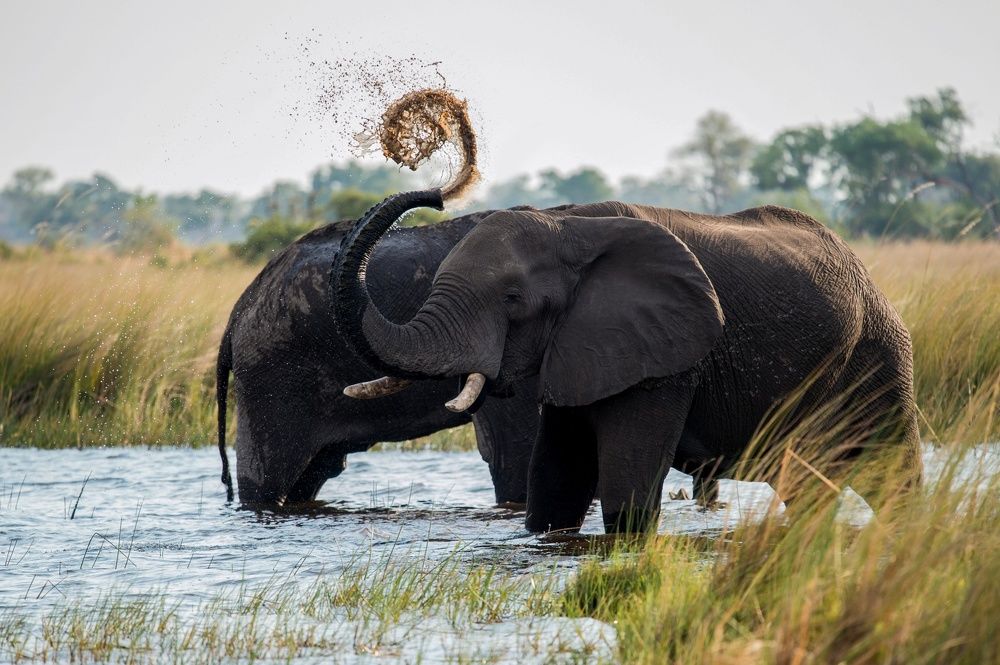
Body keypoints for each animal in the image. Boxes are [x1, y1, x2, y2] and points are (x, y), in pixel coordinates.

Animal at [330, 190, 923, 534]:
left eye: (513, 300)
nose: (435, 194)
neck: (568, 226)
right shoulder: (580, 348)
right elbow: (554, 488)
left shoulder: (665, 359)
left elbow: (627, 500)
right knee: (810, 485)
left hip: (880, 355)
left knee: (893, 472)